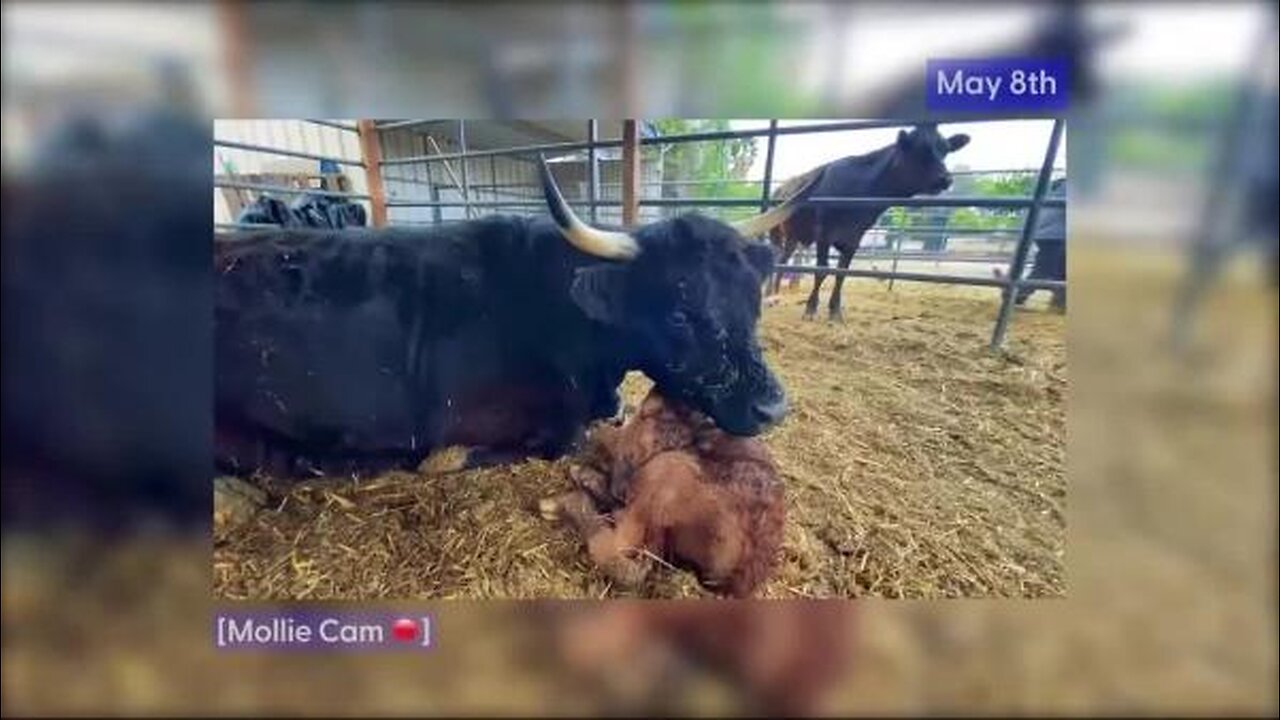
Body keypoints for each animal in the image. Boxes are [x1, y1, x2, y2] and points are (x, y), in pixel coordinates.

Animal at [765, 124, 970, 322]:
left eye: (945, 150)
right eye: (920, 149)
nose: (946, 178)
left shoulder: (854, 238)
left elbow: (842, 273)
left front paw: (835, 311)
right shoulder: (824, 234)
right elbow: (822, 270)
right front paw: (810, 309)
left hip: (793, 237)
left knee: (783, 260)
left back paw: (776, 294)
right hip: (777, 232)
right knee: (777, 258)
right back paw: (769, 295)